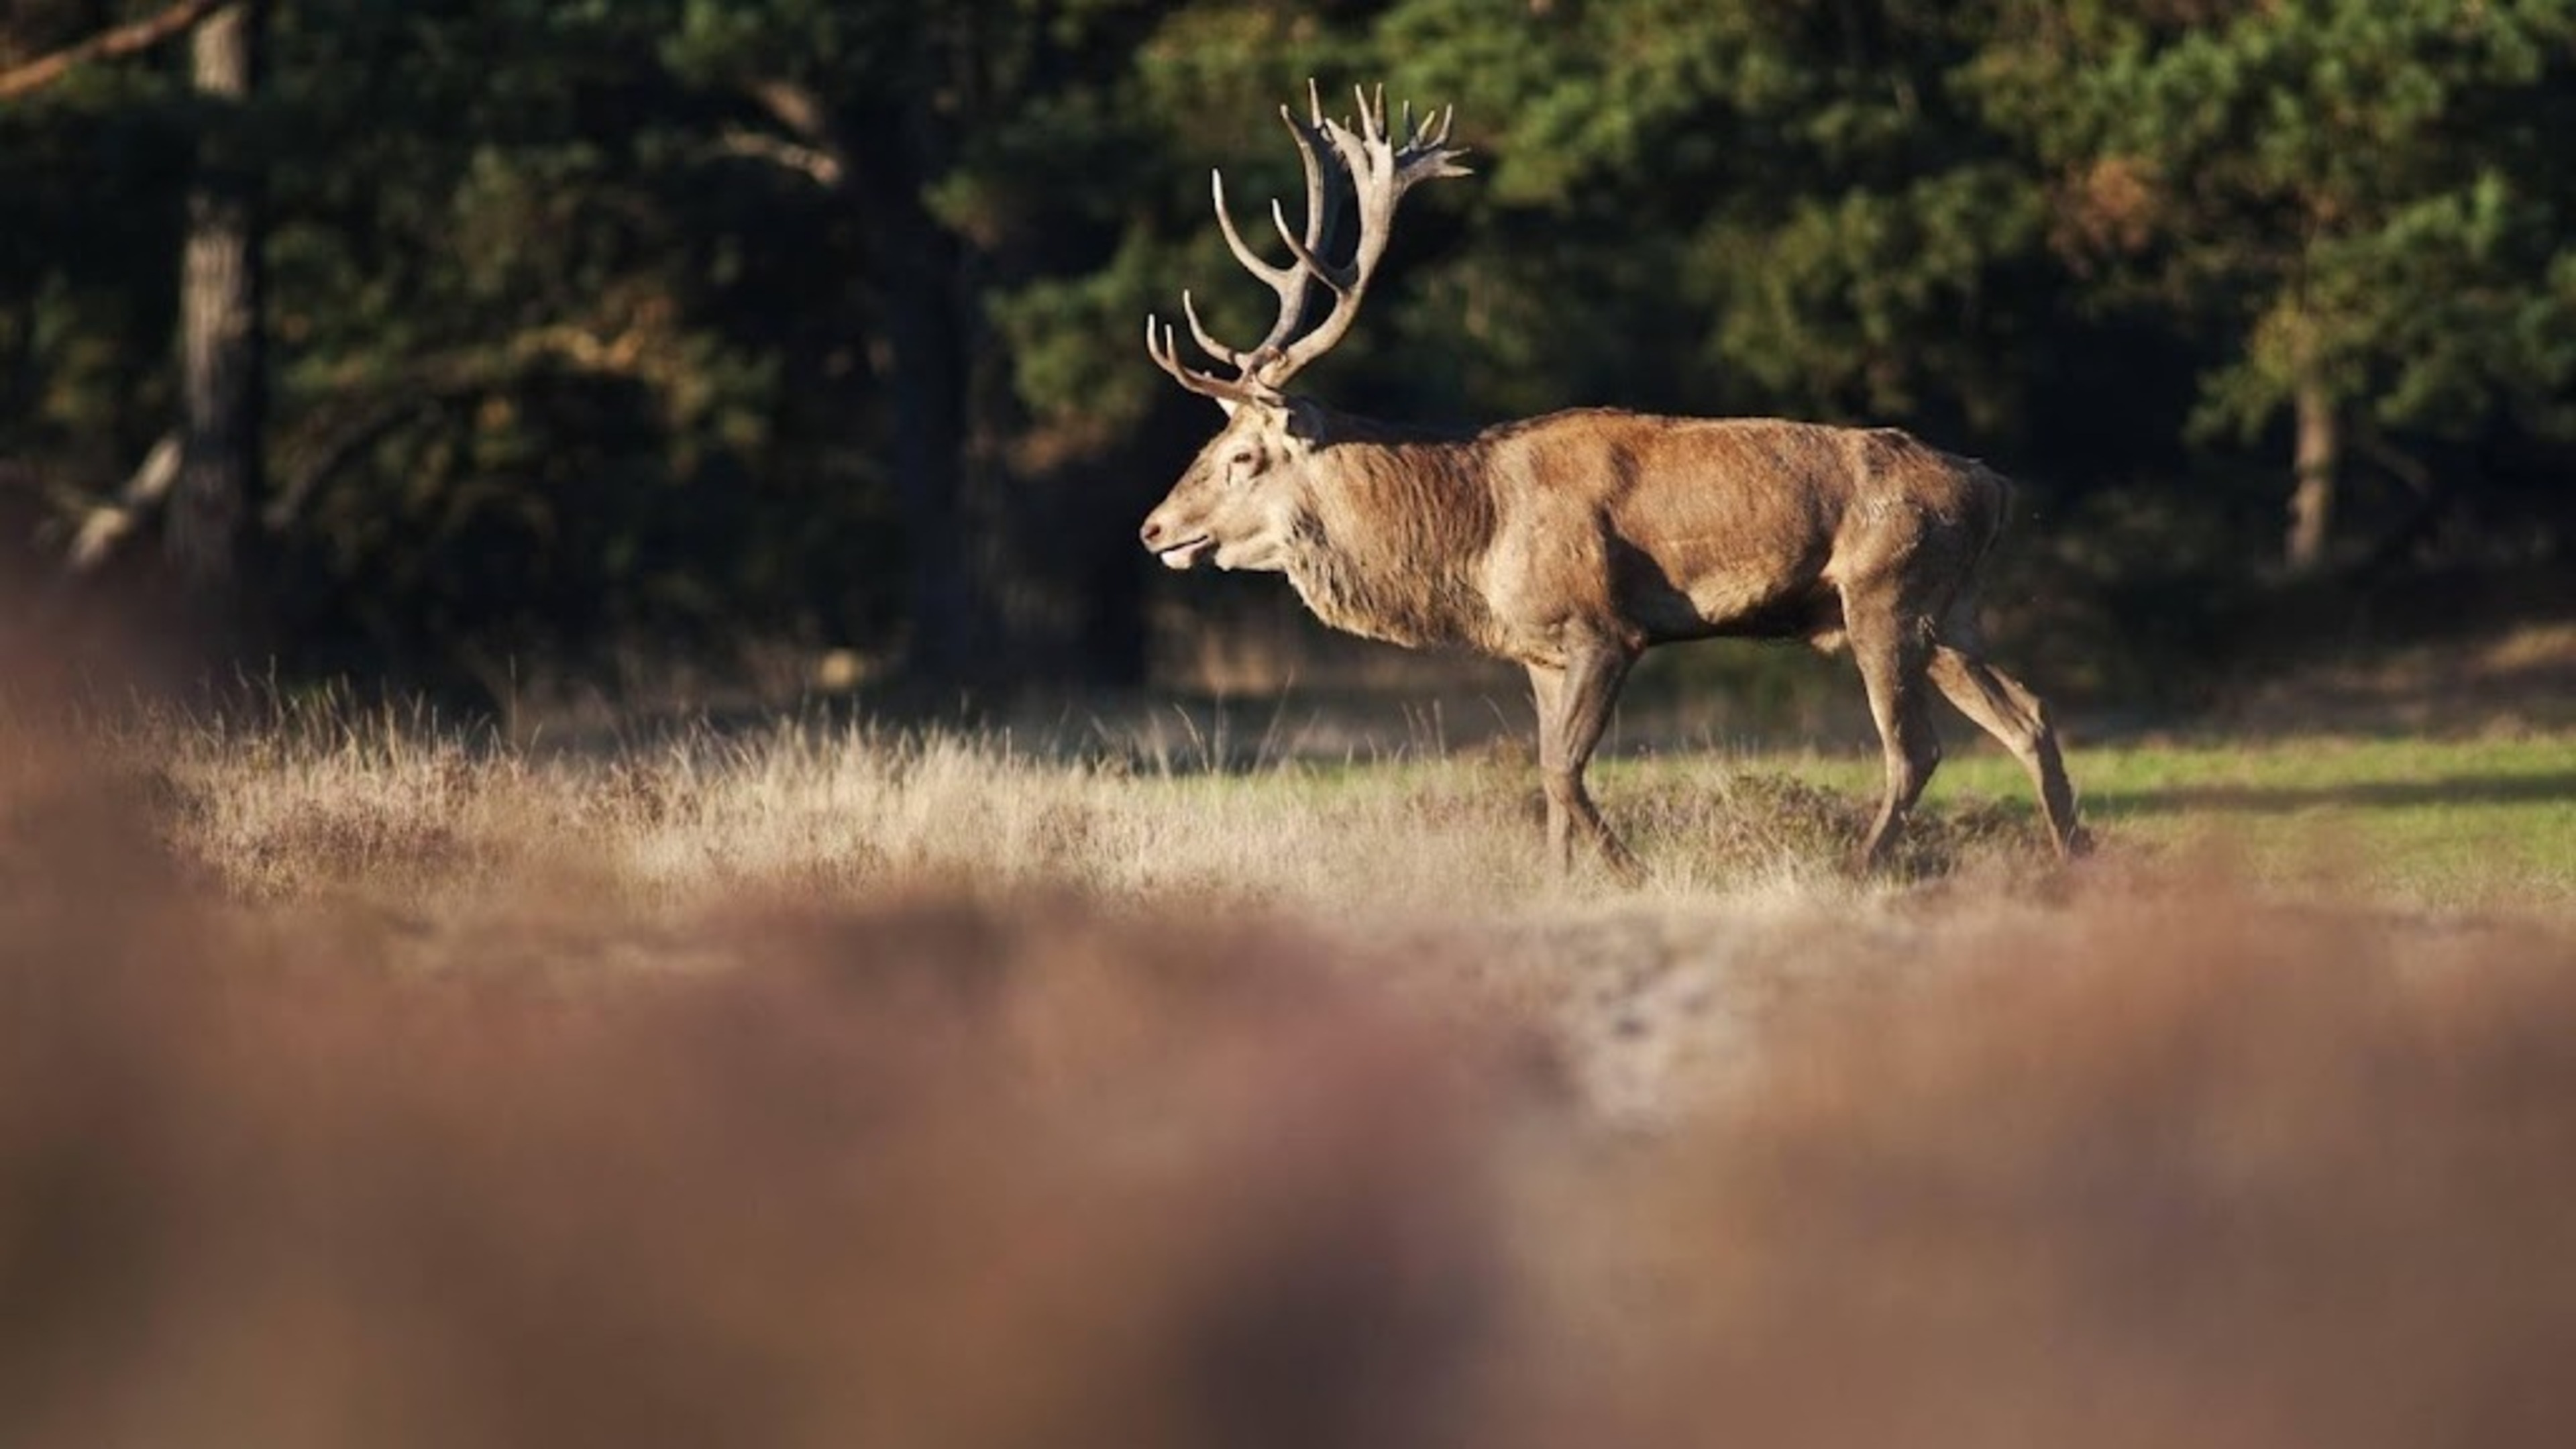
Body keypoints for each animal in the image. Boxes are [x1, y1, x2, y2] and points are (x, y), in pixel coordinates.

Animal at [1138, 85, 2084, 879]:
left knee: (1914, 749)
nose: (1154, 528)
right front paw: (1563, 882)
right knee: (2029, 715)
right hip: (1950, 612)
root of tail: (1995, 489)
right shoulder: (1537, 650)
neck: (1475, 540)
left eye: (1242, 456)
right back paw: (2076, 858)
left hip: (1886, 592)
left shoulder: (1604, 627)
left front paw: (1631, 871)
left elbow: (1563, 772)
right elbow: (1546, 774)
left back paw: (1860, 868)